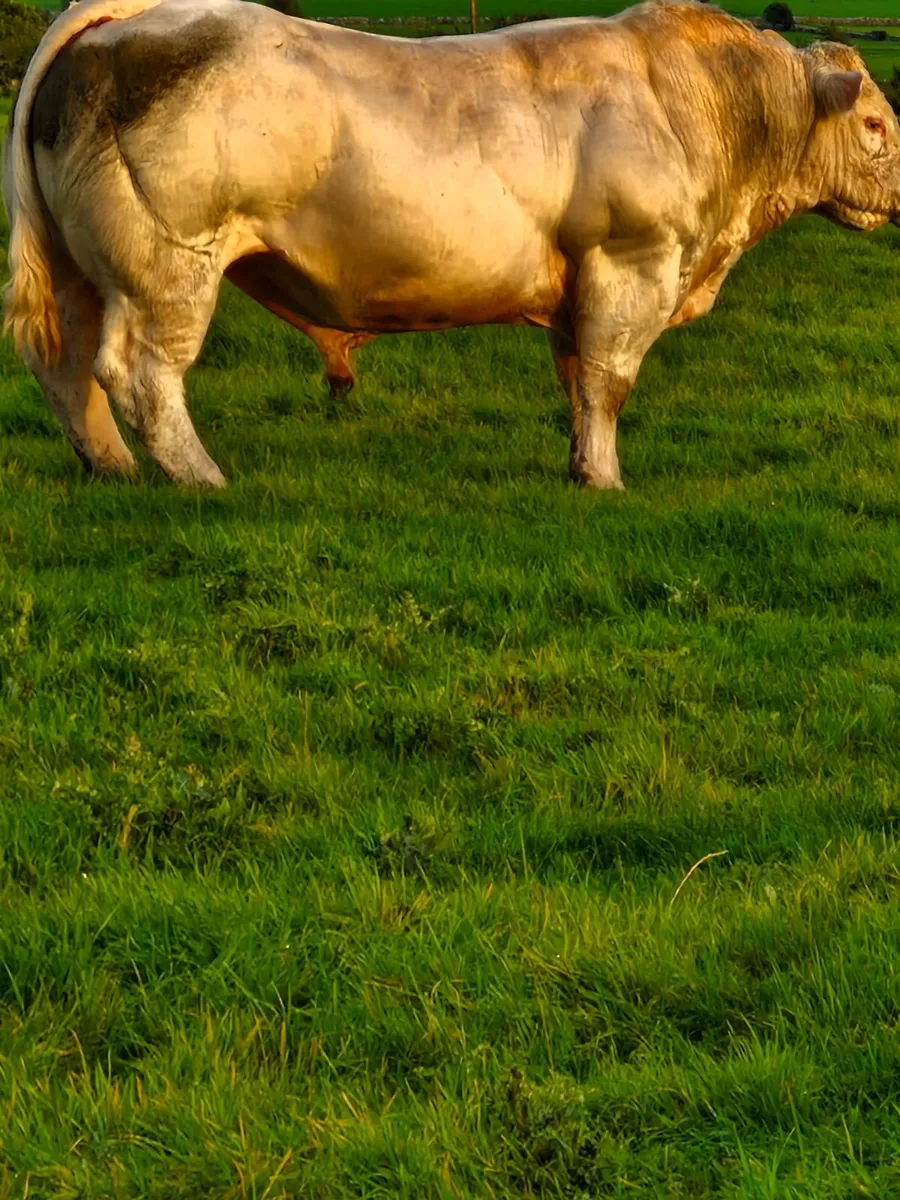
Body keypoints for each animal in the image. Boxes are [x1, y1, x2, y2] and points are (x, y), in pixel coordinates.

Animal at [4, 0, 900, 488]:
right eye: (875, 125)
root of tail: (140, 15)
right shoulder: (633, 263)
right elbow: (610, 382)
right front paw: (608, 480)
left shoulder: (583, 284)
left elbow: (577, 384)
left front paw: (580, 471)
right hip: (168, 268)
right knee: (140, 374)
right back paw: (200, 478)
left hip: (85, 273)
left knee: (66, 368)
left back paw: (113, 469)